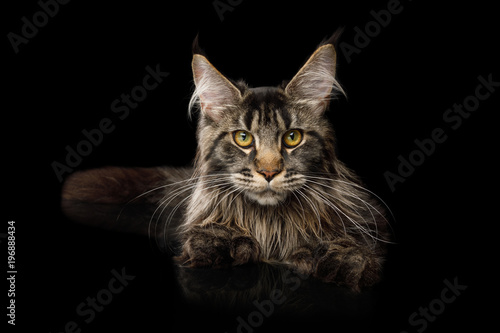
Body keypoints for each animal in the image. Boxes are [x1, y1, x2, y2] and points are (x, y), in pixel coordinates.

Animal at [61, 31, 390, 290]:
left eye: (292, 137)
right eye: (243, 138)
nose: (269, 171)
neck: (269, 224)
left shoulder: (366, 215)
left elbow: (347, 241)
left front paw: (344, 258)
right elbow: (213, 227)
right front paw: (221, 239)